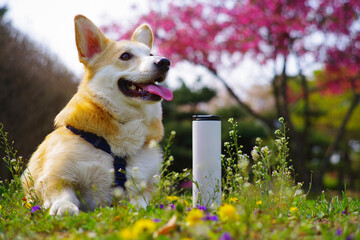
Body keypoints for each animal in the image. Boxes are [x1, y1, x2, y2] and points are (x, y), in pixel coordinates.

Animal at [21, 14, 173, 216]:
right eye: (125, 56)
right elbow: (63, 193)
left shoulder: (143, 185)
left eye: (150, 55)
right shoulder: (56, 176)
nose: (165, 62)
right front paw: (64, 207)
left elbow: (141, 202)